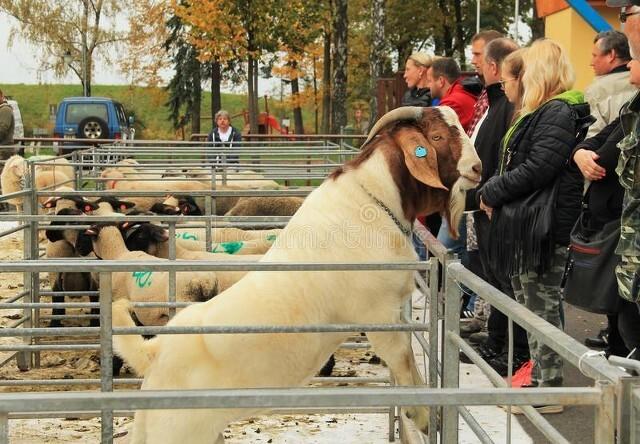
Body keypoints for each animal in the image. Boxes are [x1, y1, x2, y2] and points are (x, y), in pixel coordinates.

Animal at [109, 105, 480, 440]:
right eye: (436, 136)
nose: (477, 168)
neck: (372, 200)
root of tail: (153, 353)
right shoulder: (379, 314)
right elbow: (403, 361)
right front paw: (423, 417)